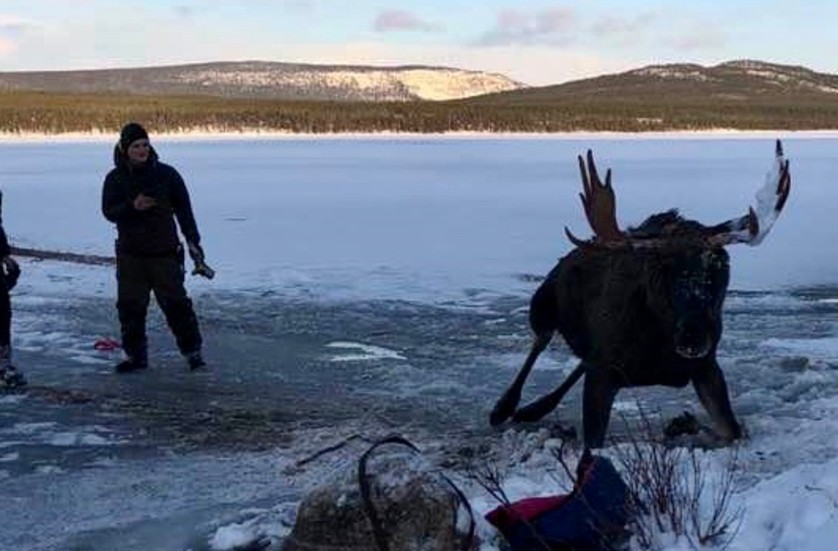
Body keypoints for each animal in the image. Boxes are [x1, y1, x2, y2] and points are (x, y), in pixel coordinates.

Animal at [488, 142, 792, 448]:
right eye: (664, 267)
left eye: (721, 264)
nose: (693, 335)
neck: (659, 344)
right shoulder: (603, 371)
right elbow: (592, 442)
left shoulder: (706, 366)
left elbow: (732, 431)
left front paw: (693, 427)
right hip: (543, 305)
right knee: (539, 342)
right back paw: (506, 407)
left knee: (576, 359)